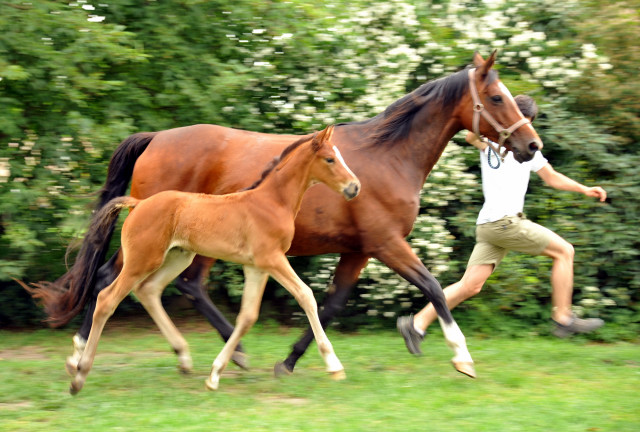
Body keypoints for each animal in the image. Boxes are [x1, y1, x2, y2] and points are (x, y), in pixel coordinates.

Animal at [68, 125, 362, 394]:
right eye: (330, 159)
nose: (354, 187)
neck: (271, 201)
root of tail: (138, 203)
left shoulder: (256, 267)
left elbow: (247, 317)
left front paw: (215, 374)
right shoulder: (273, 259)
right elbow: (306, 295)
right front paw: (334, 366)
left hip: (177, 258)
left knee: (148, 290)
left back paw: (182, 356)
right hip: (142, 260)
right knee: (107, 298)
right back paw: (79, 374)